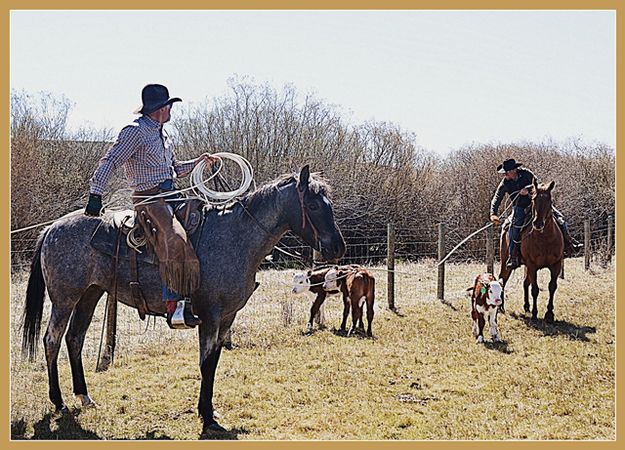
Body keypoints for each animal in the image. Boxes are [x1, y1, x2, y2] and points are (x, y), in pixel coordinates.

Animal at [22, 166, 344, 436]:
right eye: (313, 205)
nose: (337, 248)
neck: (235, 237)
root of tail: (52, 228)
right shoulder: (210, 316)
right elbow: (206, 364)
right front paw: (208, 417)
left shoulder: (227, 318)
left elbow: (213, 361)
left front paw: (209, 412)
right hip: (65, 298)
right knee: (52, 340)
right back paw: (58, 401)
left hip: (91, 293)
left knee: (74, 338)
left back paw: (84, 396)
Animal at [498, 179, 564, 324]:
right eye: (533, 199)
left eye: (549, 200)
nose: (538, 224)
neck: (545, 238)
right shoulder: (532, 265)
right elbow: (535, 289)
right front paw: (535, 313)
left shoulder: (556, 265)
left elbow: (552, 286)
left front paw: (549, 314)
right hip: (506, 262)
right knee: (502, 279)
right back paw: (500, 307)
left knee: (524, 283)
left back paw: (526, 307)